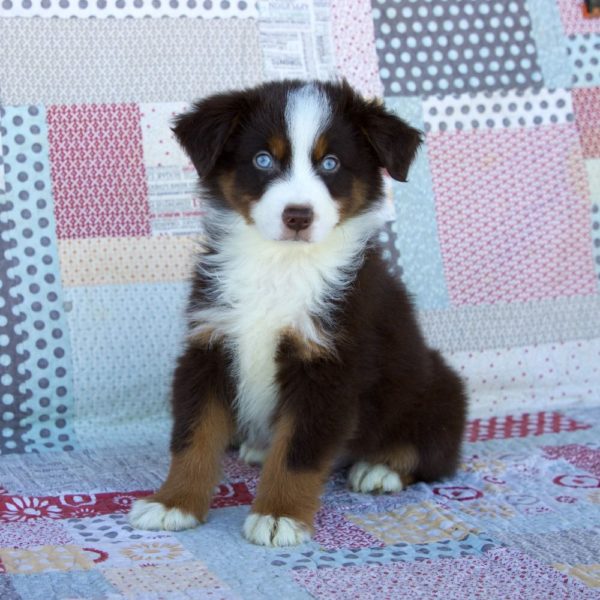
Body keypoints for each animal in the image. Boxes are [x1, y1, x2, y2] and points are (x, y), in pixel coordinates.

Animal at [127, 81, 468, 548]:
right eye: (263, 159)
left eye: (330, 163)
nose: (298, 216)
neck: (280, 265)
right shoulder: (209, 343)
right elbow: (193, 435)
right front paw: (174, 502)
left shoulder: (329, 365)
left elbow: (298, 452)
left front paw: (279, 515)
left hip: (437, 389)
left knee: (435, 451)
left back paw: (381, 468)